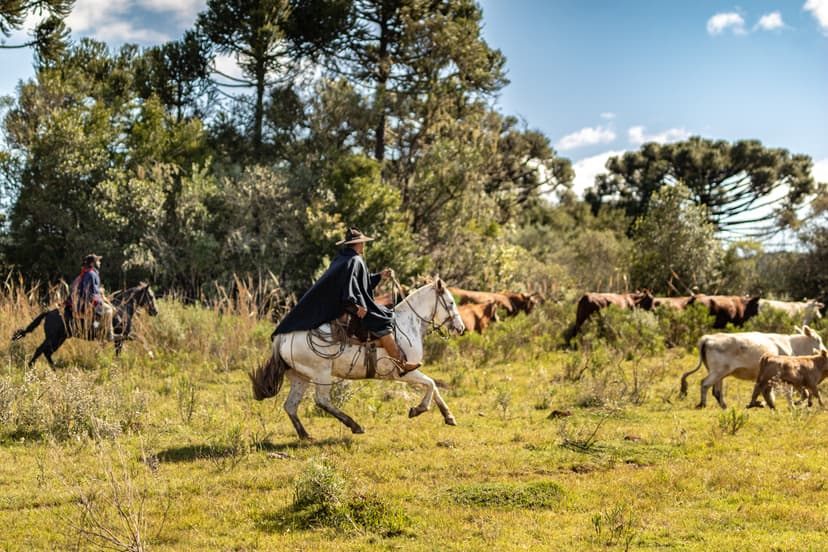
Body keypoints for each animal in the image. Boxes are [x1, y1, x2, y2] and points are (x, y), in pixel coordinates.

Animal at [11, 282, 158, 368]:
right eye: (150, 296)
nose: (155, 311)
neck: (122, 309)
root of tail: (48, 313)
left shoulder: (121, 337)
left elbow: (119, 351)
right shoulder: (124, 334)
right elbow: (141, 339)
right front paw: (151, 355)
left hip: (59, 339)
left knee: (47, 352)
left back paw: (54, 368)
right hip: (53, 338)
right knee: (40, 350)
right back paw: (32, 367)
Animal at [246, 278, 466, 442]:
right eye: (451, 303)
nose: (461, 328)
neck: (406, 325)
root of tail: (283, 337)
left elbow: (434, 387)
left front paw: (449, 416)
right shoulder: (405, 372)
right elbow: (430, 384)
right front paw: (418, 409)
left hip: (300, 377)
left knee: (291, 405)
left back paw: (305, 435)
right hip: (321, 373)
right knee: (322, 401)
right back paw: (354, 425)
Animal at [680, 326, 828, 408]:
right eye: (818, 340)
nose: (824, 351)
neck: (792, 345)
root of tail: (707, 338)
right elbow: (788, 393)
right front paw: (792, 407)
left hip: (719, 374)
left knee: (716, 391)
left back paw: (724, 406)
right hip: (718, 372)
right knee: (705, 384)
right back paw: (703, 404)